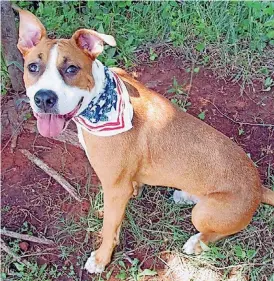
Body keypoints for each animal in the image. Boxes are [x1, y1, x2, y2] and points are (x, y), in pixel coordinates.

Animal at [16, 9, 272, 274]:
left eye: (71, 69)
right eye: (33, 67)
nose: (44, 98)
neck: (96, 102)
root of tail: (259, 189)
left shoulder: (115, 188)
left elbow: (109, 229)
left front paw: (101, 259)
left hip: (203, 215)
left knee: (215, 234)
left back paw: (196, 242)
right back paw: (186, 195)